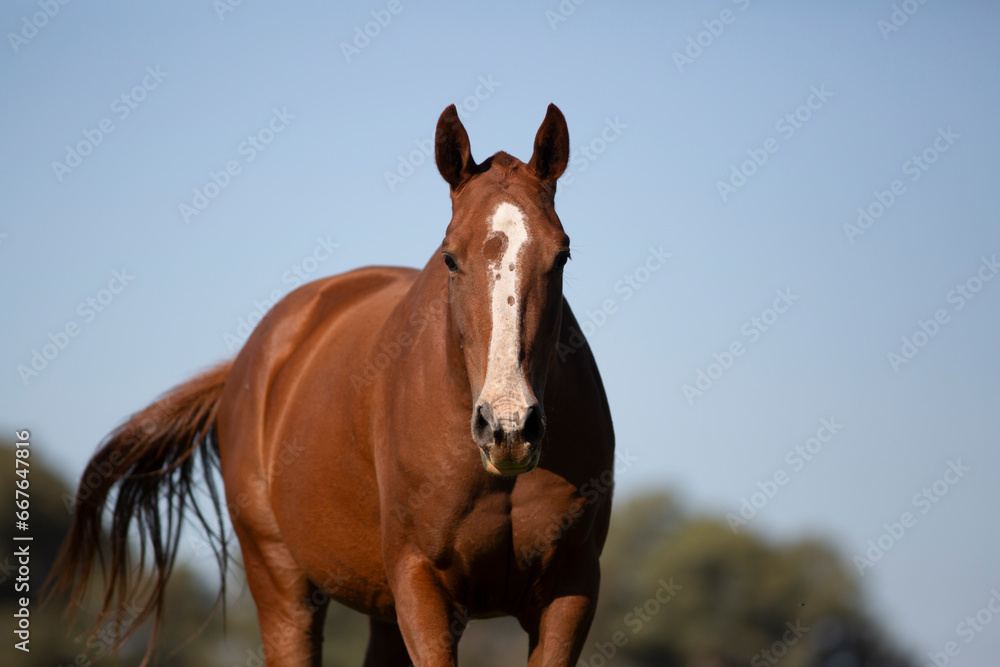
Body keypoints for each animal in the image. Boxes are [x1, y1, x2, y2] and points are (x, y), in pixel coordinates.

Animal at [50, 103, 616, 666]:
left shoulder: (570, 592)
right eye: (450, 258)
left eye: (561, 255)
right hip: (283, 586)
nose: (509, 427)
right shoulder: (423, 587)